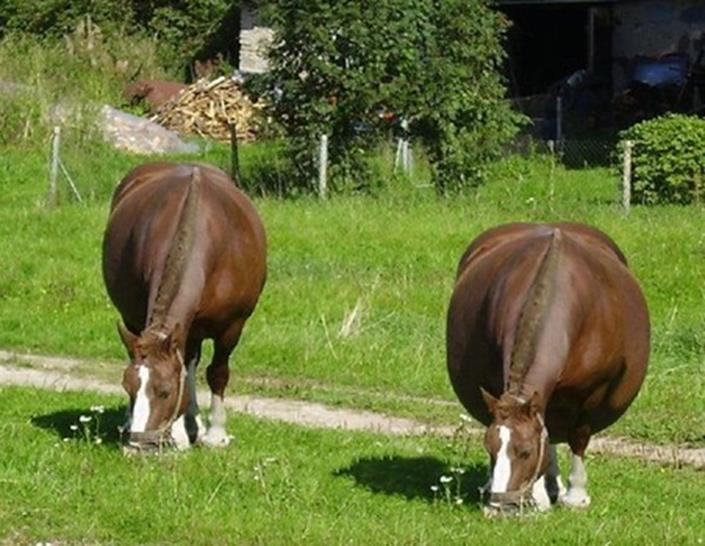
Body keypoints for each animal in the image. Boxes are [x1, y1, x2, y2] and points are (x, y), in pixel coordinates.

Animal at [99, 160, 264, 450]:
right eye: (127, 387)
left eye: (165, 392)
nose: (138, 446)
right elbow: (185, 371)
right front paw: (179, 434)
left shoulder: (232, 326)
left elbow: (217, 372)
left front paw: (215, 433)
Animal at [446, 222, 648, 516]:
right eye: (490, 448)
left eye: (526, 452)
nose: (499, 508)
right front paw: (540, 494)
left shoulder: (591, 393)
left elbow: (578, 436)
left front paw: (576, 495)